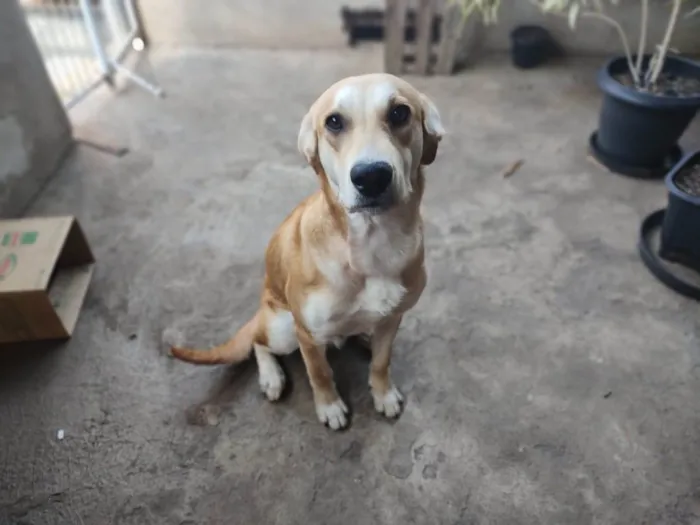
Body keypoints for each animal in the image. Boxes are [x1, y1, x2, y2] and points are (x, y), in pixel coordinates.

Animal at [170, 73, 442, 428]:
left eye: (399, 113)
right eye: (334, 122)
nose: (371, 176)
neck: (371, 246)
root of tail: (260, 310)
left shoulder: (393, 318)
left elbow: (382, 362)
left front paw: (382, 394)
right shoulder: (308, 335)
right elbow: (319, 372)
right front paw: (330, 407)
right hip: (282, 328)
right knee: (258, 342)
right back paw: (271, 377)